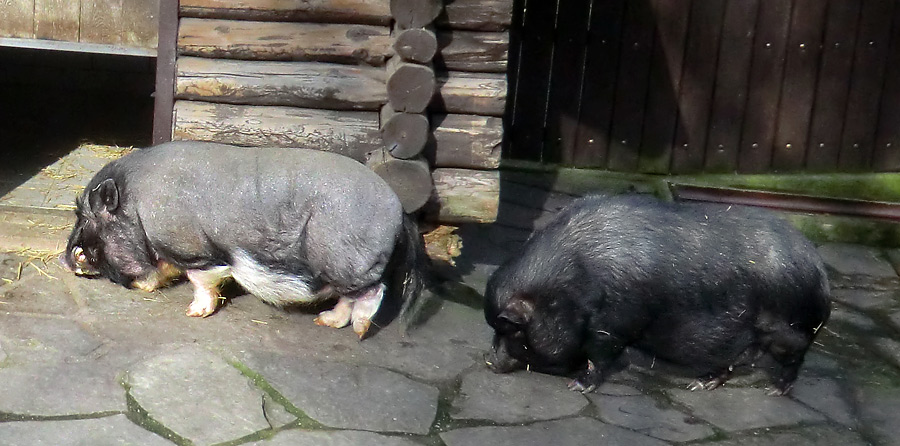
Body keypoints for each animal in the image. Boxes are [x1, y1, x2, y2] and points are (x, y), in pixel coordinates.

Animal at [61, 140, 430, 338]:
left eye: (90, 221)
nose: (66, 259)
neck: (138, 207)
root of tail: (400, 211)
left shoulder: (196, 250)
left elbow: (201, 279)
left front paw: (193, 314)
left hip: (348, 260)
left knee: (373, 291)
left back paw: (359, 331)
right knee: (350, 297)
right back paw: (326, 322)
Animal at [486, 194, 828, 394]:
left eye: (513, 330)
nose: (490, 361)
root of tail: (819, 269)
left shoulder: (614, 326)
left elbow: (600, 358)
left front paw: (577, 386)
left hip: (789, 330)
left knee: (794, 359)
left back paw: (775, 391)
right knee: (732, 362)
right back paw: (698, 385)